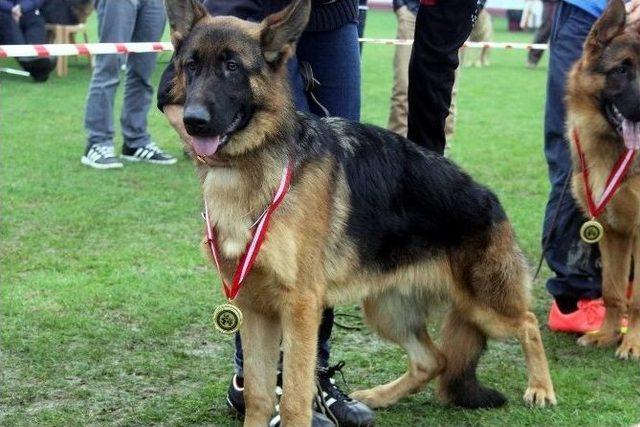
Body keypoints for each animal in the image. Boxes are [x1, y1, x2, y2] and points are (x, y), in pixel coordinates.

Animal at [164, 0, 556, 424]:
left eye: (232, 67)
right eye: (191, 65)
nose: (194, 120)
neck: (252, 167)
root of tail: (489, 198)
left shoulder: (300, 307)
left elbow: (294, 397)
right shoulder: (255, 309)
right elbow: (258, 393)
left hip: (483, 305)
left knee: (527, 324)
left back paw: (541, 388)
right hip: (387, 309)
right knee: (434, 360)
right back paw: (380, 396)